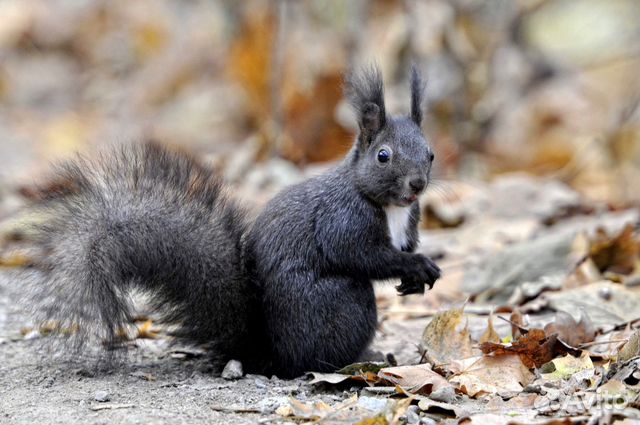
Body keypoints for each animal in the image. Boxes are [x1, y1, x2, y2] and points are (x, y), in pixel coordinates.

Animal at [26, 66, 444, 378]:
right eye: (383, 156)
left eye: (432, 154)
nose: (417, 184)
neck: (389, 205)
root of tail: (268, 356)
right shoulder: (341, 220)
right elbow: (362, 255)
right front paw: (417, 266)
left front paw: (415, 278)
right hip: (345, 304)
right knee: (317, 358)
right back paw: (361, 359)